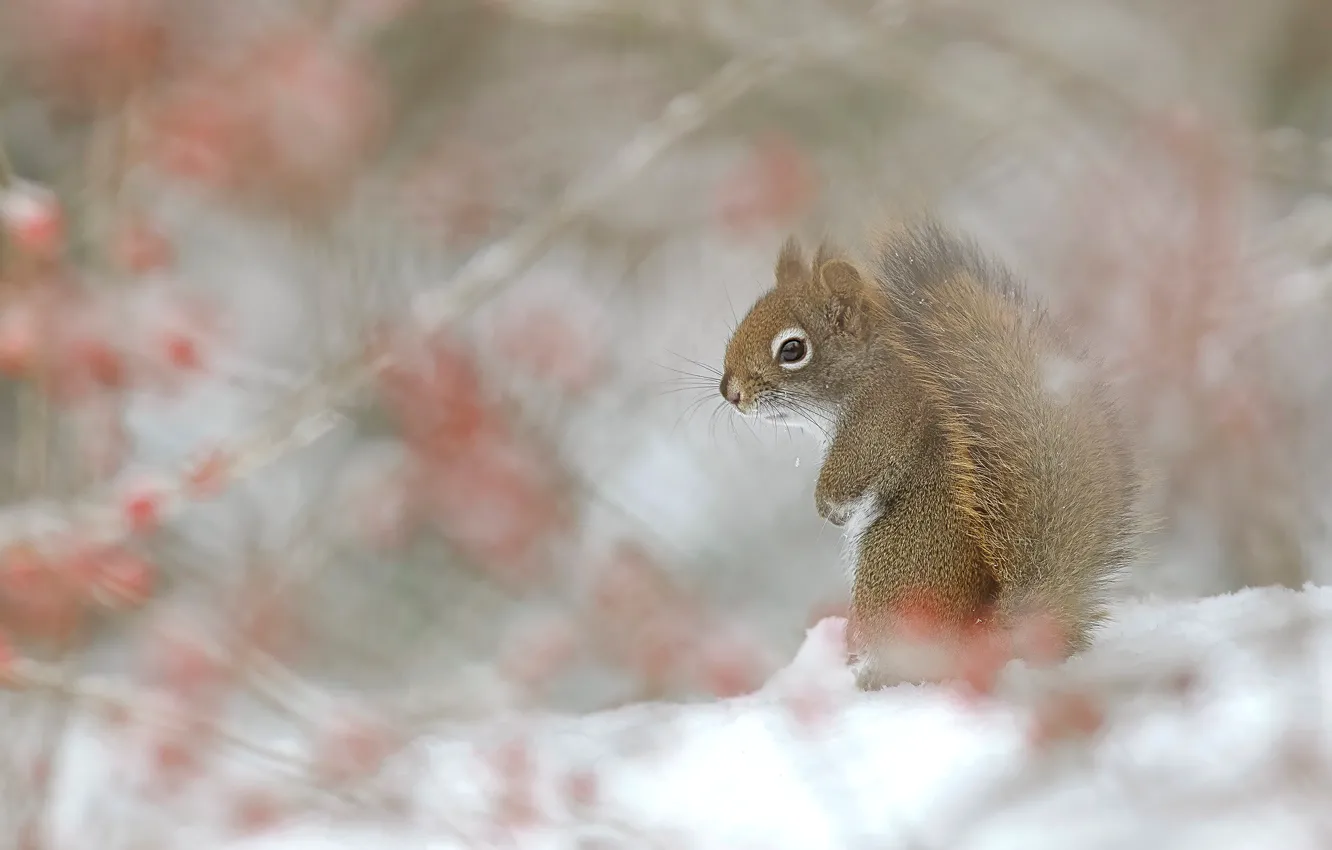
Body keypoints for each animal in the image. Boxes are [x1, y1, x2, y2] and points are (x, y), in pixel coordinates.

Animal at [719, 218, 1141, 690]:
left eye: (792, 349)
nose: (729, 392)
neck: (869, 367)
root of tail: (983, 638)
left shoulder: (881, 419)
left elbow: (852, 470)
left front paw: (827, 507)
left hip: (890, 567)